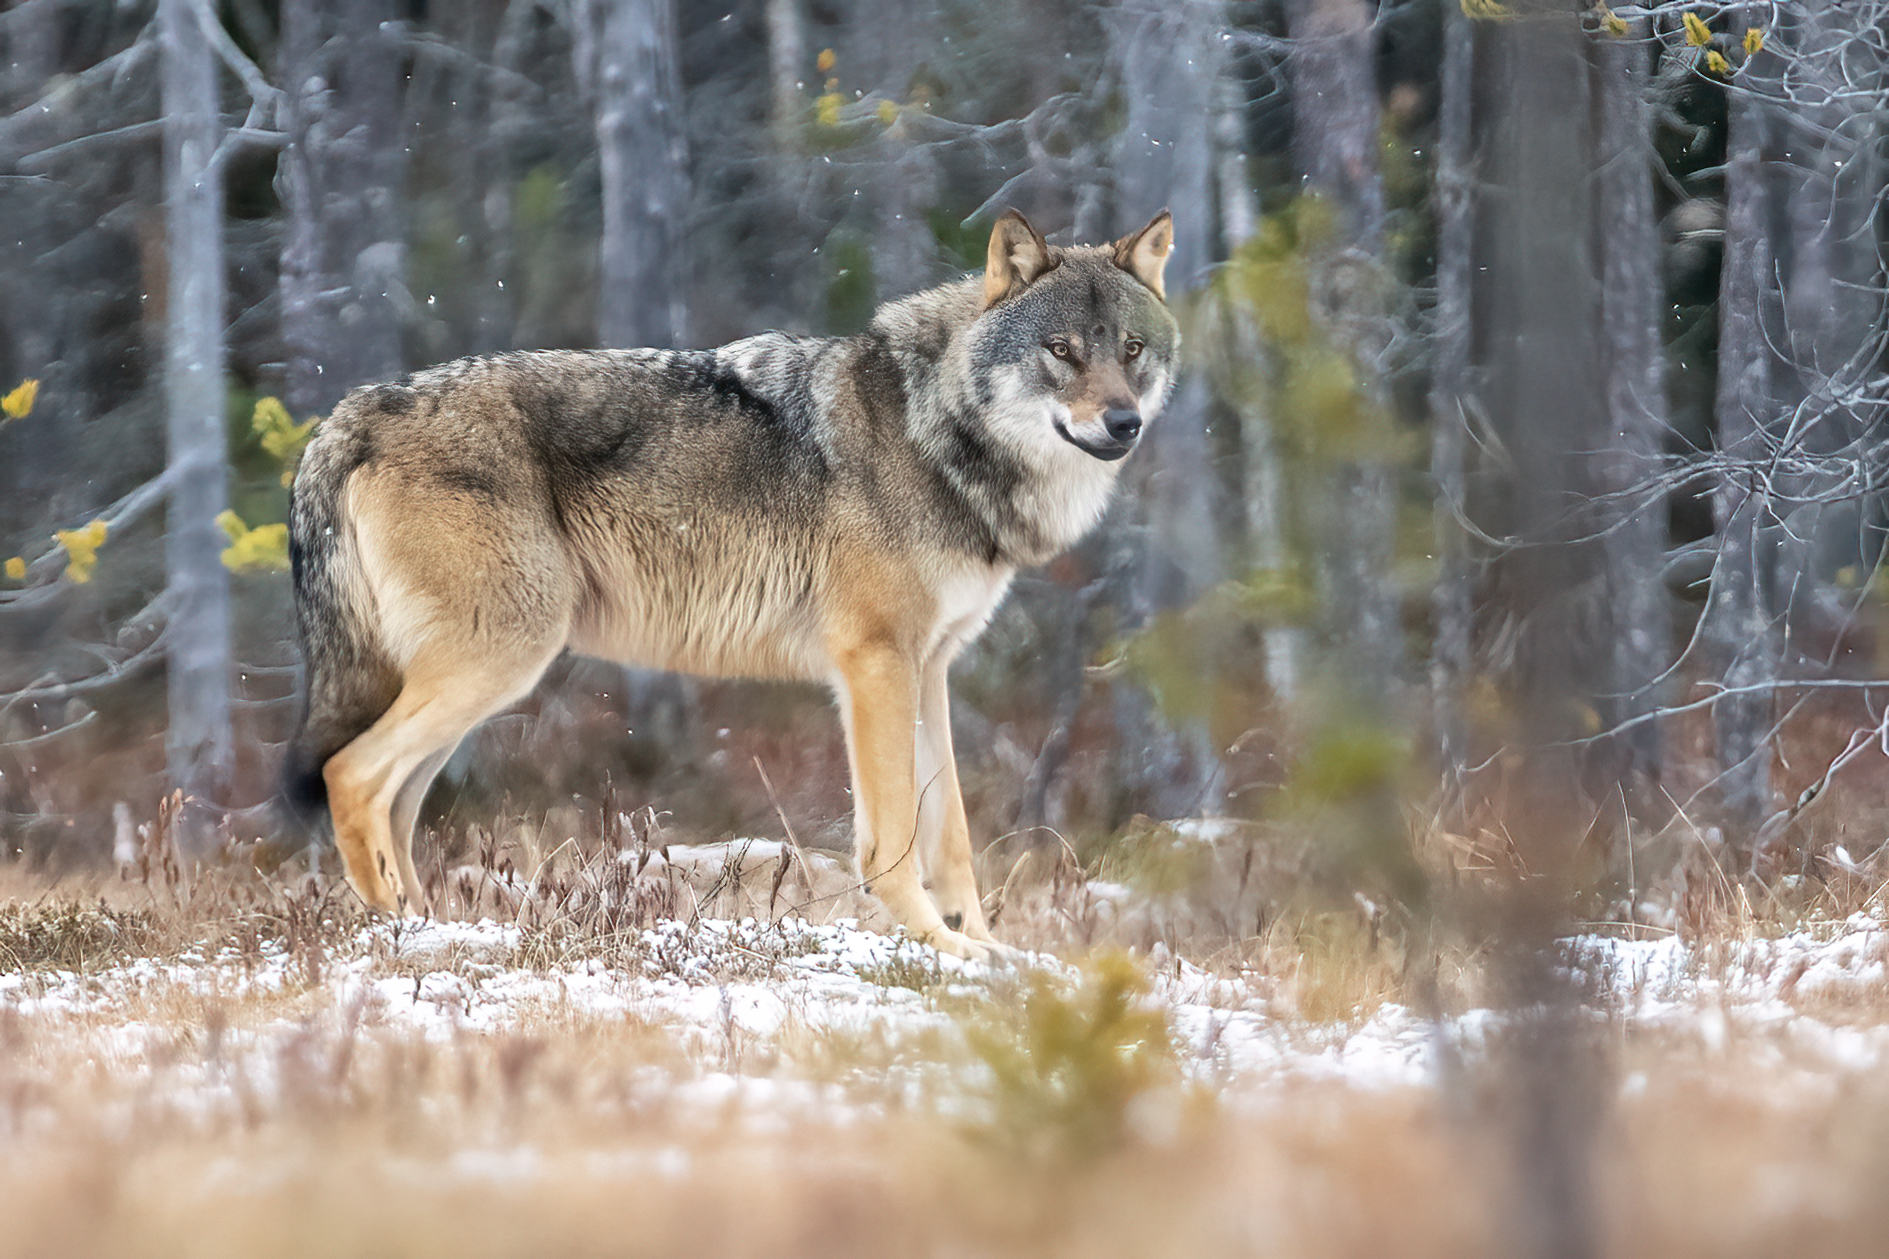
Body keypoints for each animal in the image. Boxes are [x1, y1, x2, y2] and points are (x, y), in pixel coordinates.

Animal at [285, 207, 1171, 960]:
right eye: (1061, 350)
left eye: (1130, 349)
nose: (1123, 423)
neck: (936, 433)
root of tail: (346, 414)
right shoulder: (874, 662)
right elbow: (890, 837)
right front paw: (935, 944)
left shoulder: (930, 666)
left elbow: (949, 831)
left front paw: (985, 947)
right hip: (502, 659)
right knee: (348, 776)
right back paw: (399, 931)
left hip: (474, 683)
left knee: (395, 803)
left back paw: (432, 925)